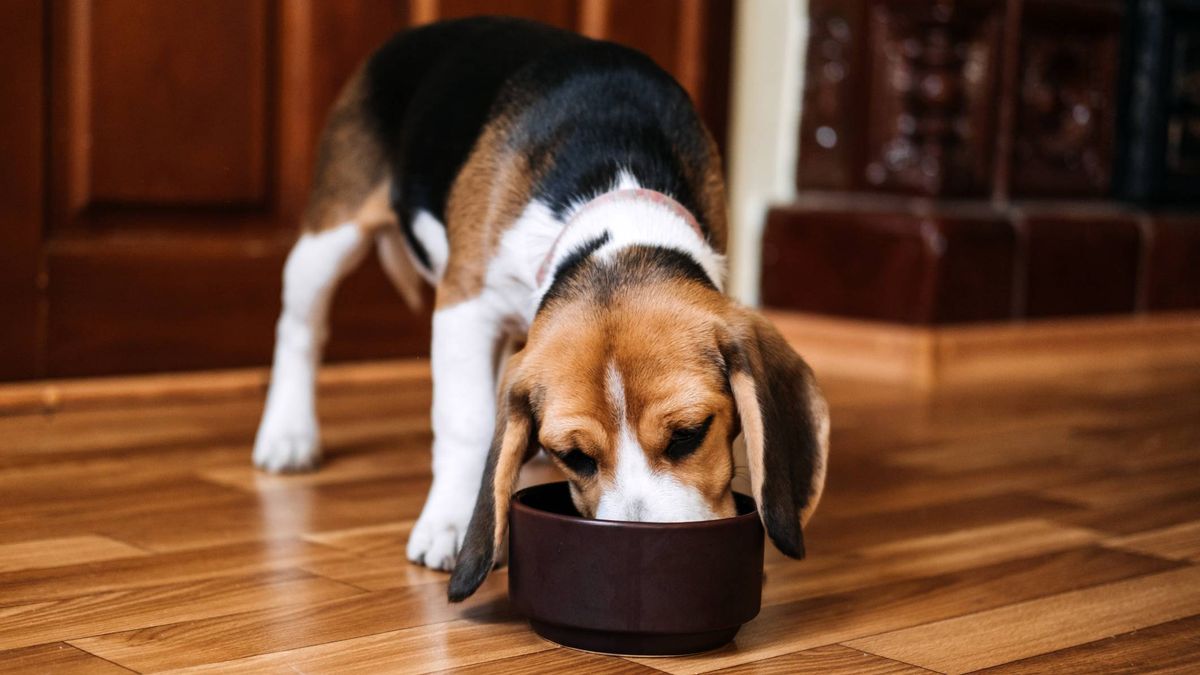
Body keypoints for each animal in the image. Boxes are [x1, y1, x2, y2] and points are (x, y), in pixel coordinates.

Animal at [254, 18, 830, 600]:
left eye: (690, 434)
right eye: (575, 458)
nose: (641, 553)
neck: (615, 201)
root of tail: (420, 30)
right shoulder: (464, 305)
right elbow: (463, 421)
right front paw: (450, 522)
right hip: (329, 238)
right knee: (299, 329)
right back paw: (288, 434)